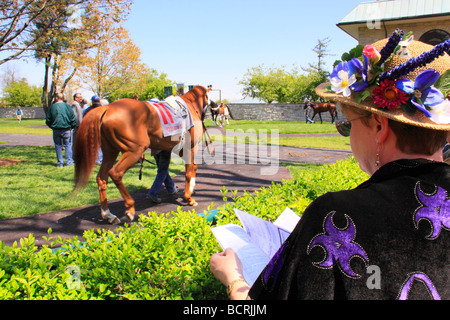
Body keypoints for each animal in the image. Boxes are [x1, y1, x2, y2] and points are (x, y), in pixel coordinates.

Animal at [73, 86, 213, 224]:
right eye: (208, 98)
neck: (190, 105)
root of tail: (107, 108)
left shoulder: (180, 149)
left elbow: (193, 166)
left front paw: (190, 188)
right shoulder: (190, 147)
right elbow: (189, 171)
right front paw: (189, 198)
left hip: (110, 151)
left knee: (101, 178)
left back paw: (108, 214)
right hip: (134, 151)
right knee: (115, 173)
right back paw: (130, 208)